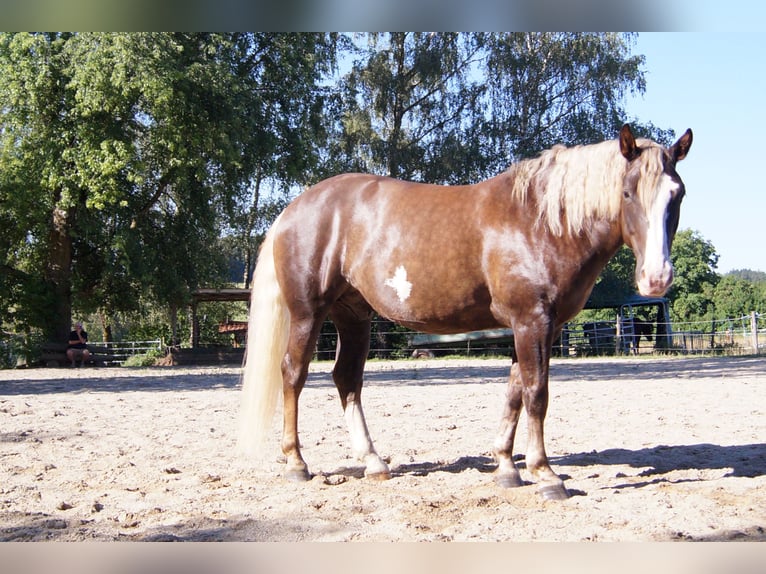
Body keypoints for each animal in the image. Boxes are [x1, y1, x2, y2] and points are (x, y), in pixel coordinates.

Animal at [239, 124, 692, 500]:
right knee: (293, 374)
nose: (656, 278)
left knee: (346, 379)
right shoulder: (533, 320)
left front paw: (508, 469)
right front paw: (545, 474)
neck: (540, 221)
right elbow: (537, 394)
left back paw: (374, 462)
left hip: (353, 316)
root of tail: (292, 209)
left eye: (678, 194)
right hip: (307, 313)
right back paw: (297, 463)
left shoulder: (530, 326)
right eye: (629, 192)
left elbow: (514, 393)